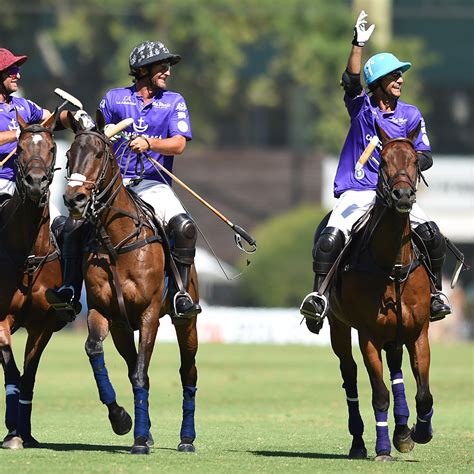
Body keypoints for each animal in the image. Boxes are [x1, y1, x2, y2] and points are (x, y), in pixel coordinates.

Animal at [62, 114, 199, 456]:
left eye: (100, 154)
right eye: (69, 156)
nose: (74, 199)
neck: (116, 241)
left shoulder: (150, 314)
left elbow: (140, 373)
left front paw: (138, 440)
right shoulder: (102, 311)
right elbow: (96, 351)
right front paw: (123, 421)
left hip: (186, 321)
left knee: (187, 370)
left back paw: (187, 438)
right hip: (122, 328)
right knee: (135, 367)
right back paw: (146, 430)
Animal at [328, 124, 436, 462]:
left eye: (414, 161)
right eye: (384, 159)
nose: (403, 195)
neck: (394, 265)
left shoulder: (418, 331)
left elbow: (423, 393)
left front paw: (418, 432)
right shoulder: (369, 336)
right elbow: (379, 394)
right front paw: (383, 448)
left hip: (397, 333)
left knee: (396, 370)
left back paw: (403, 430)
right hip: (338, 325)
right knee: (349, 374)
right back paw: (359, 442)